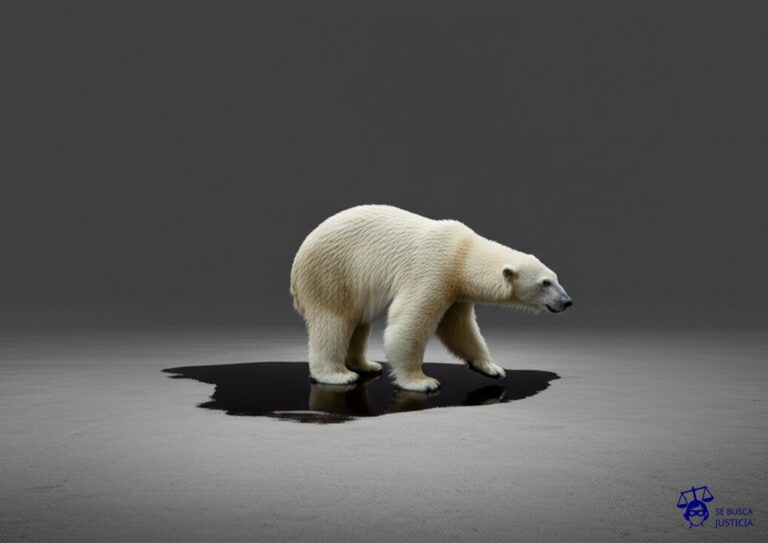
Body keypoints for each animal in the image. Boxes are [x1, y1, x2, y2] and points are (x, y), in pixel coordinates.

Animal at [290, 204, 572, 392]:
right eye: (545, 283)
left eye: (555, 277)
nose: (567, 301)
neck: (463, 253)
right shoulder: (434, 270)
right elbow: (408, 324)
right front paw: (422, 381)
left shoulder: (456, 292)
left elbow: (460, 330)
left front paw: (491, 368)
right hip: (333, 274)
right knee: (334, 321)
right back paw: (339, 375)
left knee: (360, 323)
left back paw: (367, 364)